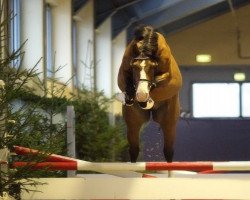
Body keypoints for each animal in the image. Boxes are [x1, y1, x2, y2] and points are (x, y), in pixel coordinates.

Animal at [117, 25, 182, 162]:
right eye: (134, 67)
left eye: (152, 67)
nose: (141, 95)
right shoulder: (126, 61)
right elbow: (126, 79)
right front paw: (133, 96)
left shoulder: (165, 66)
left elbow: (159, 80)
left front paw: (146, 99)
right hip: (134, 123)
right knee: (134, 150)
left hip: (169, 124)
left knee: (168, 151)